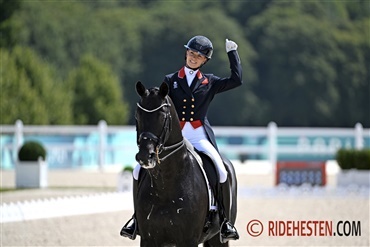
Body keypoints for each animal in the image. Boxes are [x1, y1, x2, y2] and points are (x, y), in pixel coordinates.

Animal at [133, 82, 237, 246]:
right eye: (138, 116)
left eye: (162, 116)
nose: (144, 156)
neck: (165, 185)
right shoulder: (148, 239)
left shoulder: (189, 240)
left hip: (219, 238)